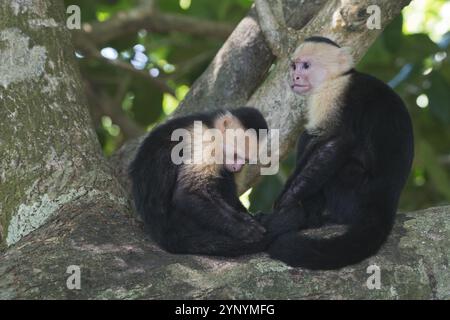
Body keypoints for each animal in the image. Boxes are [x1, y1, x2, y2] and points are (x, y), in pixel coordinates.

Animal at [130, 107, 270, 258]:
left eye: (245, 160)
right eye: (235, 155)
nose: (237, 167)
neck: (211, 126)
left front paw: (250, 216)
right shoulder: (206, 142)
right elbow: (189, 192)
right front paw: (243, 227)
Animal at [264, 35, 414, 270]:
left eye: (306, 66)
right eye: (294, 66)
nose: (295, 76)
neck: (335, 79)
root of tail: (387, 198)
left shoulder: (333, 95)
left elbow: (336, 143)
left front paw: (285, 202)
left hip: (355, 193)